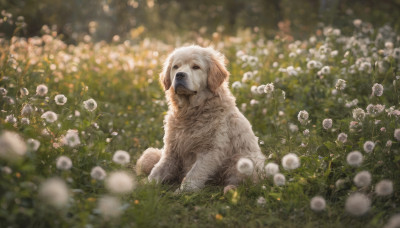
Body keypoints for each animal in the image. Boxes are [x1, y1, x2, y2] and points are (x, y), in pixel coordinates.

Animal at [137, 45, 266, 191]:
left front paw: (183, 191)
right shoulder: (171, 150)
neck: (191, 112)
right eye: (176, 67)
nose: (180, 74)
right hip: (150, 154)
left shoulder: (210, 151)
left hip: (244, 161)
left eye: (196, 67)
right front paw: (144, 187)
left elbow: (194, 174)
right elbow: (157, 171)